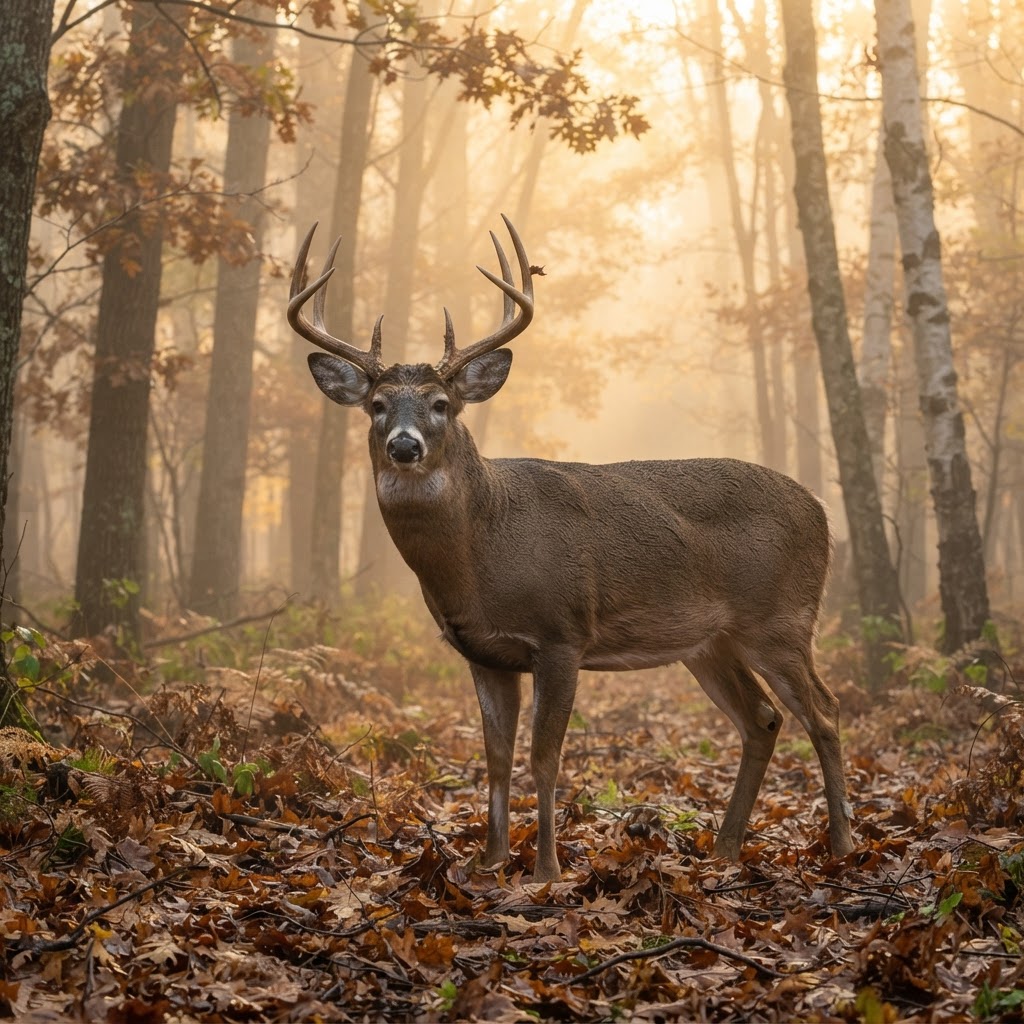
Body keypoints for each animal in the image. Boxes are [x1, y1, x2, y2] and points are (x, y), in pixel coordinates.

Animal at [287, 216, 856, 882]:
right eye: (376, 406)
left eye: (441, 404)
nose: (405, 445)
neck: (482, 553)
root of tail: (821, 512)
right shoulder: (483, 652)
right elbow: (496, 758)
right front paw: (491, 860)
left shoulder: (562, 633)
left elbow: (544, 757)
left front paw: (546, 871)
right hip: (710, 642)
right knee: (764, 720)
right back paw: (725, 849)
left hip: (780, 618)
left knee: (825, 711)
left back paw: (842, 844)